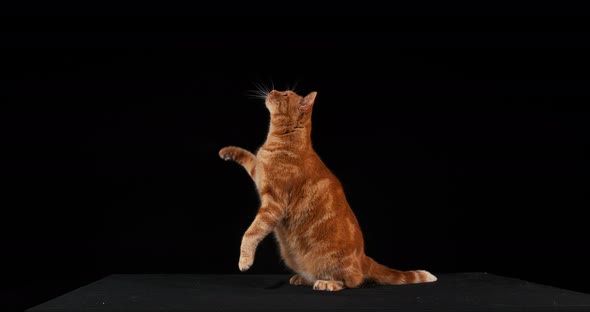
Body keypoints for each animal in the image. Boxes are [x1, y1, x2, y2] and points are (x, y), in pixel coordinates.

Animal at [220, 89, 438, 292]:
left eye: (285, 94)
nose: (273, 91)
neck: (284, 140)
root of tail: (363, 257)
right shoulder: (258, 173)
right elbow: (248, 156)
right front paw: (227, 151)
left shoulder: (274, 205)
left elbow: (251, 232)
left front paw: (244, 261)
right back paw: (302, 279)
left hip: (330, 262)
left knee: (350, 281)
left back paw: (326, 283)